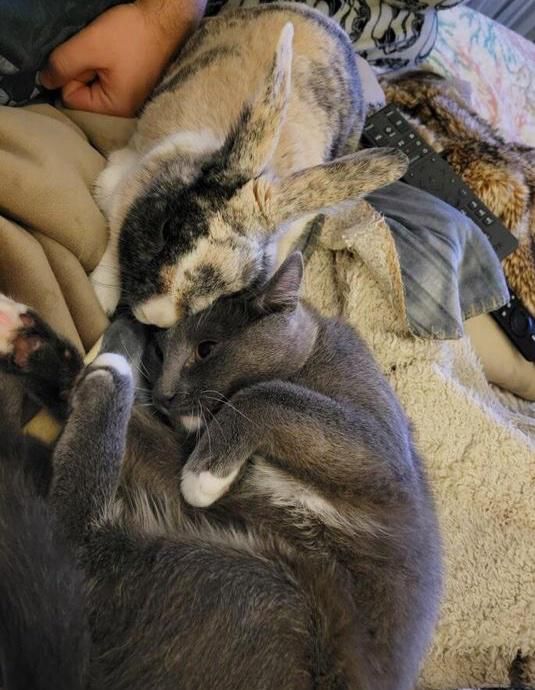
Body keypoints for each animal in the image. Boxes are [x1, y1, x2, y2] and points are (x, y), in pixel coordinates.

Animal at [0, 260, 442, 688]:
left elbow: (266, 395)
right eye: (159, 352)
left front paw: (204, 474)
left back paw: (102, 372)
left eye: (206, 349)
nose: (163, 394)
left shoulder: (379, 452)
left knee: (75, 542)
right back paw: (28, 341)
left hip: (267, 595)